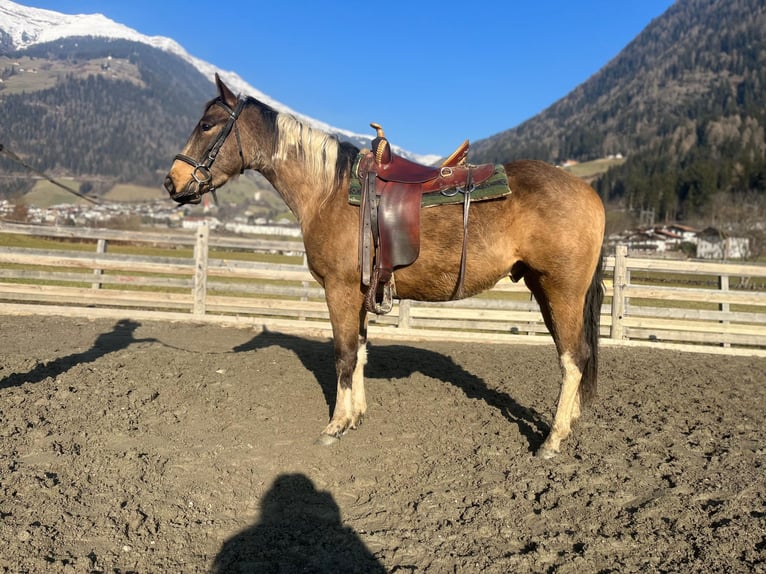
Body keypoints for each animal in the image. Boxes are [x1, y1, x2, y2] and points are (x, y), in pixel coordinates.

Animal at [165, 74, 608, 460]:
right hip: (544, 289)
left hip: (561, 290)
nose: (172, 181)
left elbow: (344, 355)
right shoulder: (360, 292)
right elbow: (360, 352)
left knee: (573, 357)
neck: (328, 191)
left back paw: (553, 439)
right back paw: (568, 423)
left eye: (207, 125)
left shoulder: (339, 289)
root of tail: (588, 192)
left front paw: (335, 425)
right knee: (575, 356)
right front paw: (356, 417)